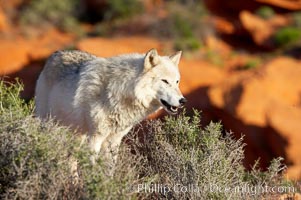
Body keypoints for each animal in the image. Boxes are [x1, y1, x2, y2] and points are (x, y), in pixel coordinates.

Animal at [34, 48, 185, 162]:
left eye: (177, 82)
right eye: (165, 81)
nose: (183, 101)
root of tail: (56, 53)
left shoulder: (114, 140)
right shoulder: (95, 137)